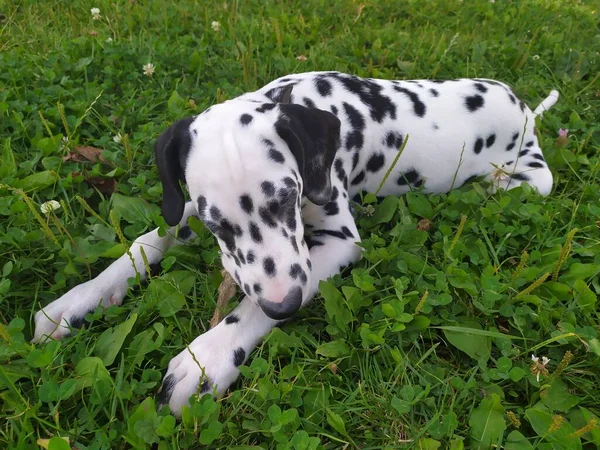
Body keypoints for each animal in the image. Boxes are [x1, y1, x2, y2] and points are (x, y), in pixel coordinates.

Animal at [31, 71, 556, 414]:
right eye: (216, 224)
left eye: (287, 197)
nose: (284, 306)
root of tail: (526, 109)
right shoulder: (188, 214)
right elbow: (144, 243)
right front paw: (76, 302)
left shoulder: (338, 242)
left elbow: (248, 308)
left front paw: (206, 360)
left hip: (532, 177)